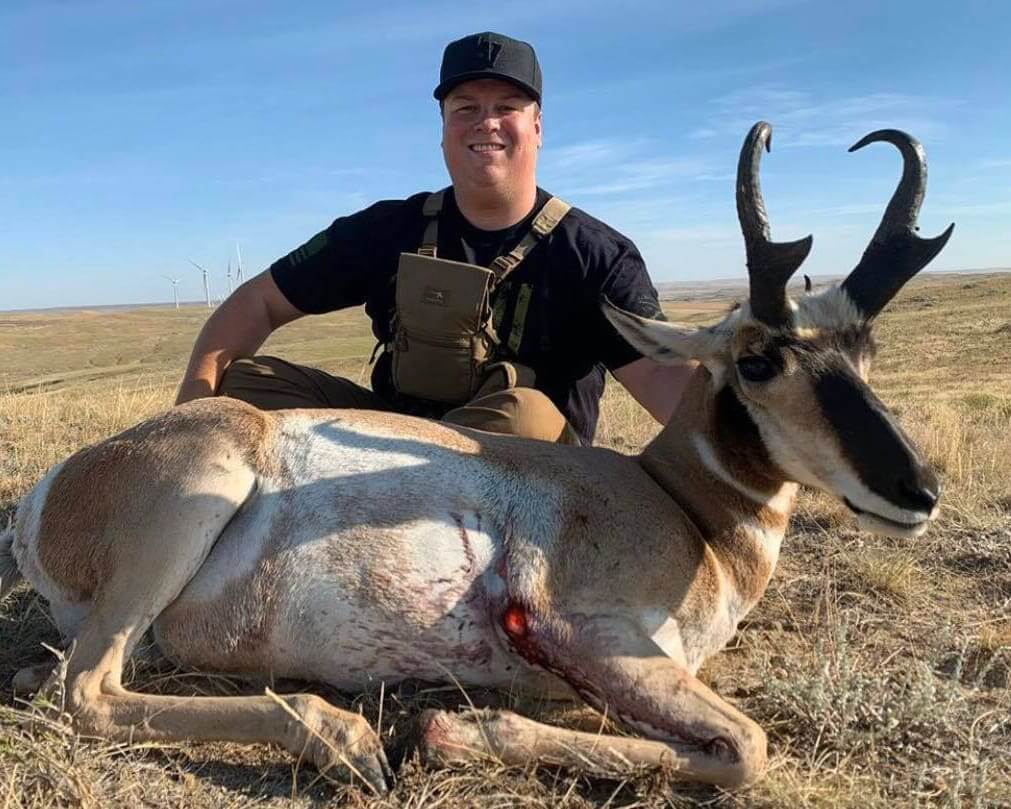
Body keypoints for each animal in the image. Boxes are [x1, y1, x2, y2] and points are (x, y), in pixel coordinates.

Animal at [0, 123, 953, 793]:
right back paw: (350, 738)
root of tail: (49, 491)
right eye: (757, 359)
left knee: (62, 679)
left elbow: (728, 745)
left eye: (863, 350)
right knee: (86, 692)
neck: (678, 504)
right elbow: (750, 745)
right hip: (194, 498)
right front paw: (449, 733)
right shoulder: (591, 633)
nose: (917, 491)